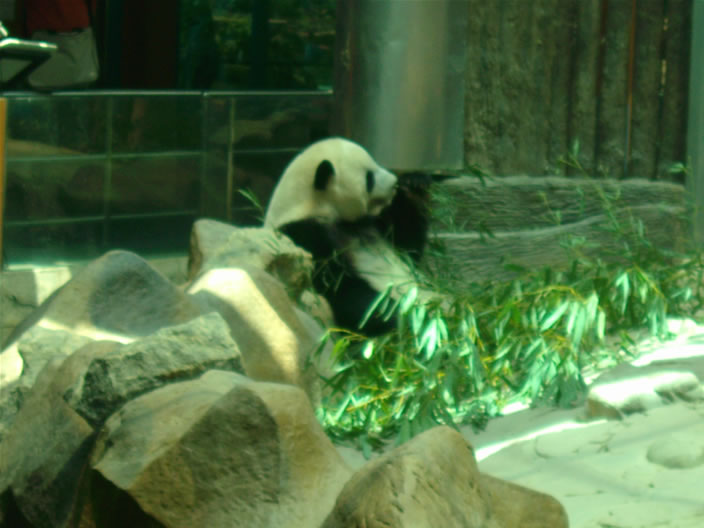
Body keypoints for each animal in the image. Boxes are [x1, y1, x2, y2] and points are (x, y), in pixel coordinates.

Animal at [264, 137, 436, 336]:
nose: (394, 182)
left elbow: (408, 247)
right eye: (369, 178)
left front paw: (415, 183)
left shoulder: (372, 226)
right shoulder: (301, 235)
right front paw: (398, 318)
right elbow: (339, 286)